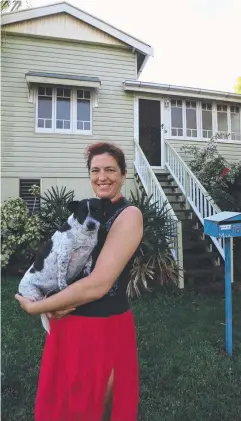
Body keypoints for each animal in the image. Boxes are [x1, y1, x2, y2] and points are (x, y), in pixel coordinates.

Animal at [17, 199, 107, 334]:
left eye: (96, 210)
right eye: (82, 212)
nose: (91, 224)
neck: (83, 234)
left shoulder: (89, 254)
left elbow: (88, 267)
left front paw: (87, 274)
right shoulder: (64, 255)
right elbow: (62, 277)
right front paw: (64, 287)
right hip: (35, 293)